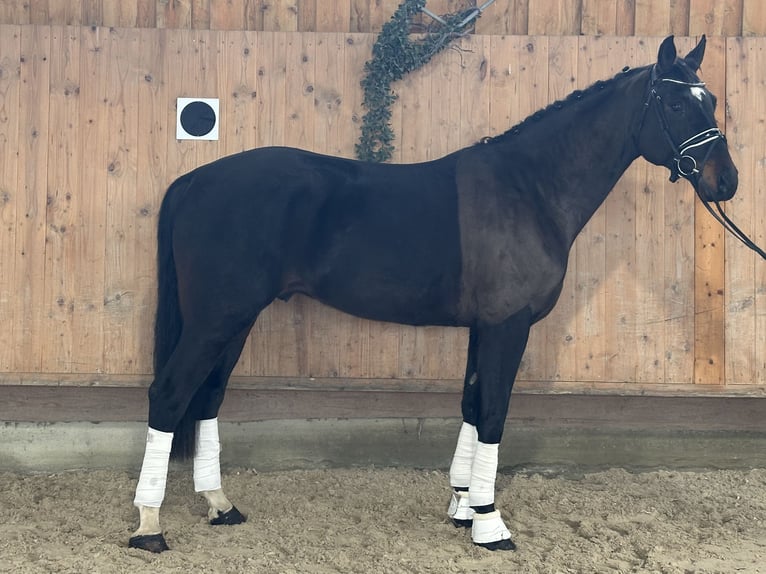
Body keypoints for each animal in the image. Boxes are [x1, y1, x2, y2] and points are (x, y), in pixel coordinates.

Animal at [129, 35, 738, 553]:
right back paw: (149, 527)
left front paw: (464, 508)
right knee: (170, 395)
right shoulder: (508, 325)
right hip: (216, 318)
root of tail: (195, 181)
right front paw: (491, 525)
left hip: (235, 320)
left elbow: (470, 404)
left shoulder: (483, 328)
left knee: (207, 397)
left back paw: (219, 505)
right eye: (676, 104)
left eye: (709, 100)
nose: (726, 181)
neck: (530, 189)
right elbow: (493, 412)